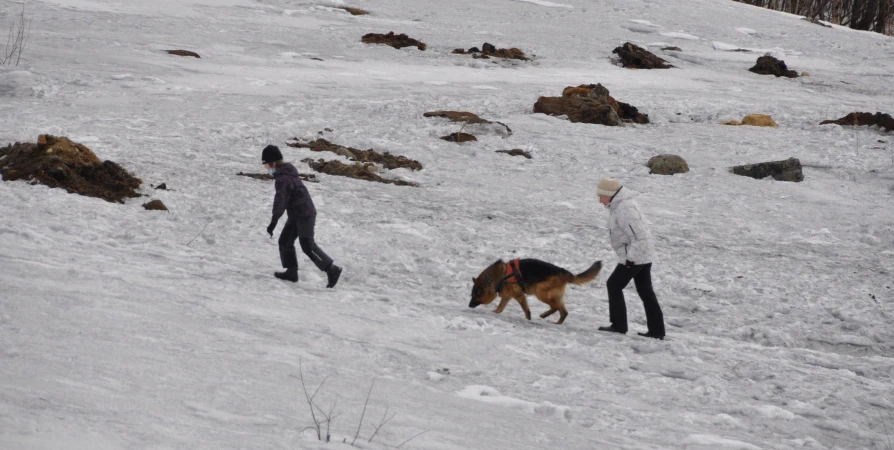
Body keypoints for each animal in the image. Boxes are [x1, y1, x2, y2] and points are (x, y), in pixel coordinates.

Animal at [468, 258, 600, 326]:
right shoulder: (507, 297)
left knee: (556, 307)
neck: (498, 277)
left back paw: (544, 315)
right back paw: (556, 322)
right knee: (564, 312)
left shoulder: (519, 296)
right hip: (555, 296)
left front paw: (528, 318)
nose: (469, 305)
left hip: (540, 293)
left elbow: (525, 309)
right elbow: (500, 307)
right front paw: (495, 312)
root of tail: (565, 272)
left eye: (475, 295)